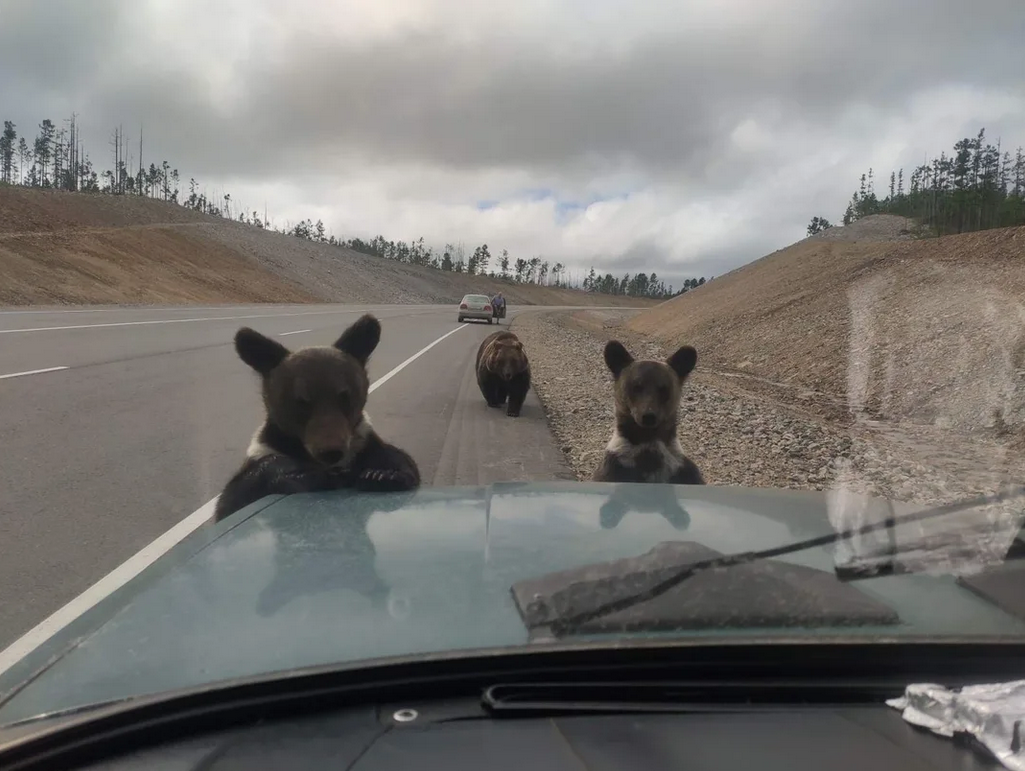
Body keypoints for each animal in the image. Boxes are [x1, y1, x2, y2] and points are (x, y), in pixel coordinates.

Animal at [212, 313, 420, 524]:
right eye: (302, 401)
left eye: (344, 396)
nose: (331, 452)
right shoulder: (265, 449)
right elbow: (233, 498)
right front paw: (304, 475)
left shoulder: (363, 444)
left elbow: (399, 460)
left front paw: (382, 474)